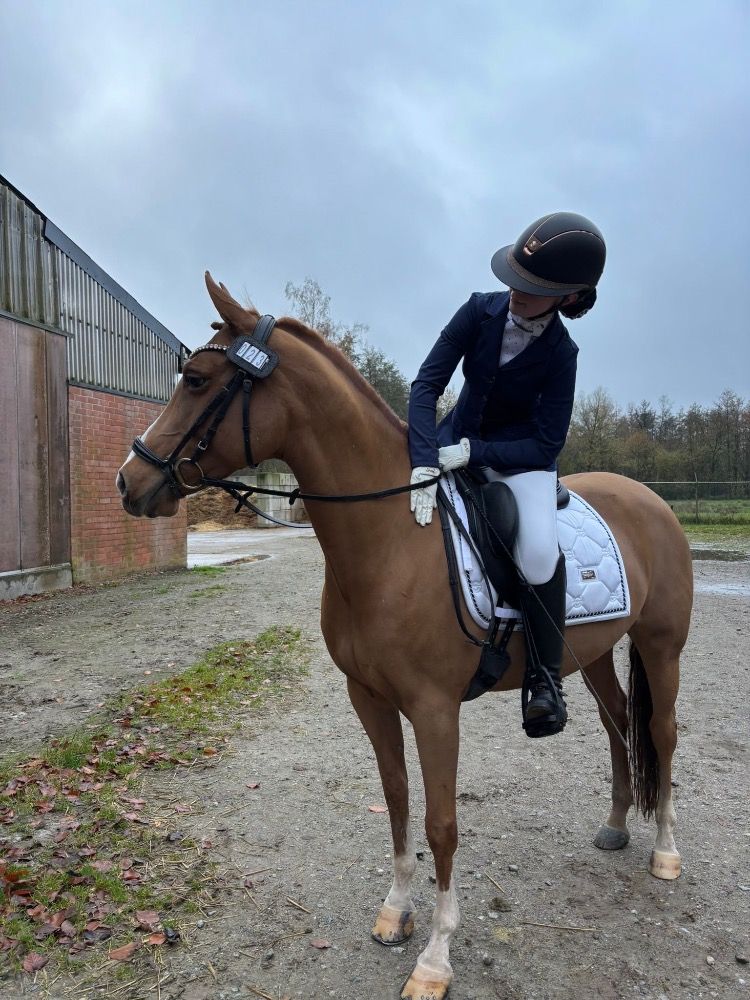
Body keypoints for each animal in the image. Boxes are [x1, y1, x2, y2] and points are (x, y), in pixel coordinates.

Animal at [117, 274, 693, 1000]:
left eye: (195, 381)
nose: (129, 482)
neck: (388, 541)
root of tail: (649, 498)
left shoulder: (435, 709)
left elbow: (442, 825)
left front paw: (436, 960)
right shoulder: (368, 696)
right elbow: (395, 800)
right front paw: (395, 912)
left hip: (661, 645)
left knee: (662, 736)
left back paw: (665, 851)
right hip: (589, 654)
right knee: (619, 723)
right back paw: (616, 828)